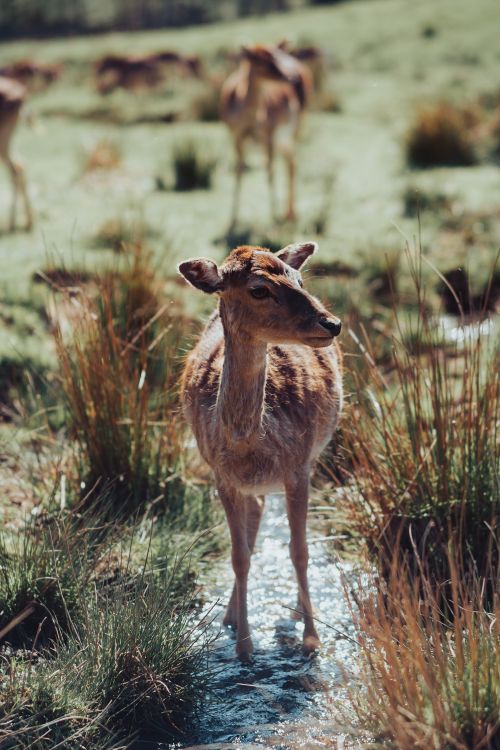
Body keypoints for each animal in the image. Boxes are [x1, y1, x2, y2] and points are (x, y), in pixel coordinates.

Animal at [179, 241, 343, 660]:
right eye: (258, 289)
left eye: (298, 279)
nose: (331, 324)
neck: (250, 442)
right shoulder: (220, 476)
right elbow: (238, 556)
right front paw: (244, 647)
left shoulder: (299, 466)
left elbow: (300, 550)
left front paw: (311, 639)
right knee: (254, 520)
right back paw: (231, 617)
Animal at [220, 44, 312, 232]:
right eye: (262, 60)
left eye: (274, 58)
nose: (290, 77)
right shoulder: (236, 138)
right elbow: (238, 173)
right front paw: (232, 221)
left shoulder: (268, 136)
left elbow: (270, 174)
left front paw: (274, 221)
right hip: (282, 141)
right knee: (290, 163)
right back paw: (288, 213)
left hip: (293, 133)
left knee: (292, 164)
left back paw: (290, 214)